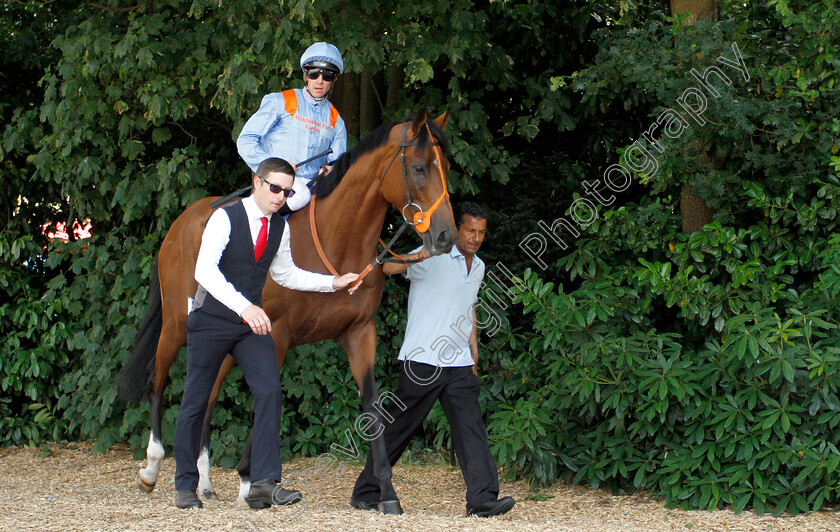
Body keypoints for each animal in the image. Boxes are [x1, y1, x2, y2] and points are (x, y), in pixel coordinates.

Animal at [120, 107, 452, 512]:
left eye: (445, 166)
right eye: (419, 168)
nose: (446, 236)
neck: (336, 240)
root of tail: (183, 221)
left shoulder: (360, 333)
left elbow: (373, 408)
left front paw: (387, 494)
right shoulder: (274, 336)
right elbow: (262, 403)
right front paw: (253, 483)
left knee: (208, 395)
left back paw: (204, 481)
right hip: (176, 324)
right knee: (159, 380)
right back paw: (152, 468)